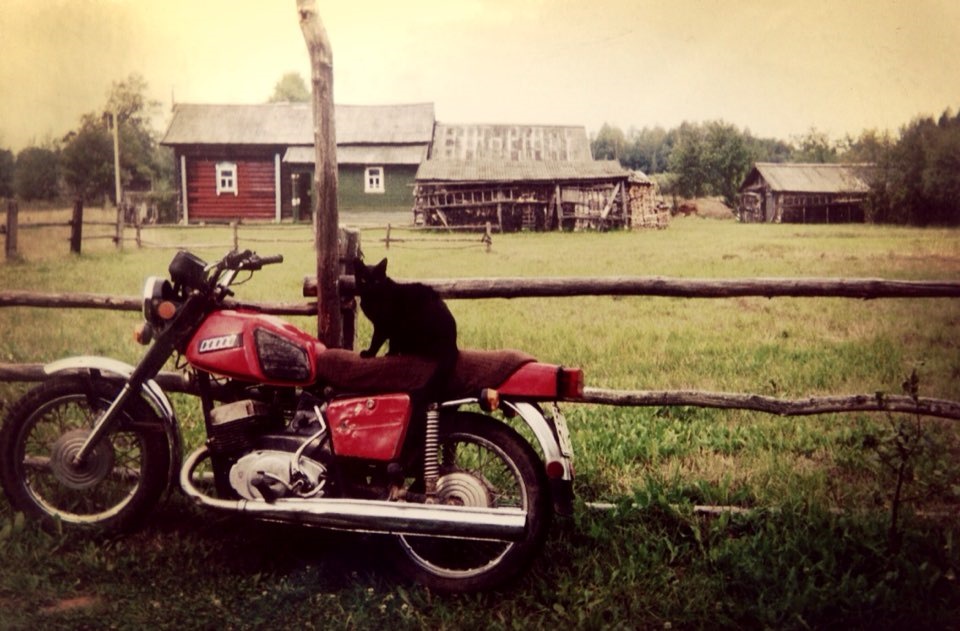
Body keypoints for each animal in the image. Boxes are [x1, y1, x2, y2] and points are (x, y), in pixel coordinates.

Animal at [354, 256, 460, 390]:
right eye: (363, 280)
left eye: (377, 281)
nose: (370, 287)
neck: (372, 299)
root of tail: (452, 344)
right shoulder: (389, 328)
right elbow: (391, 342)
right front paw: (390, 353)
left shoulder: (384, 325)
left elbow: (376, 340)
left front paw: (370, 353)